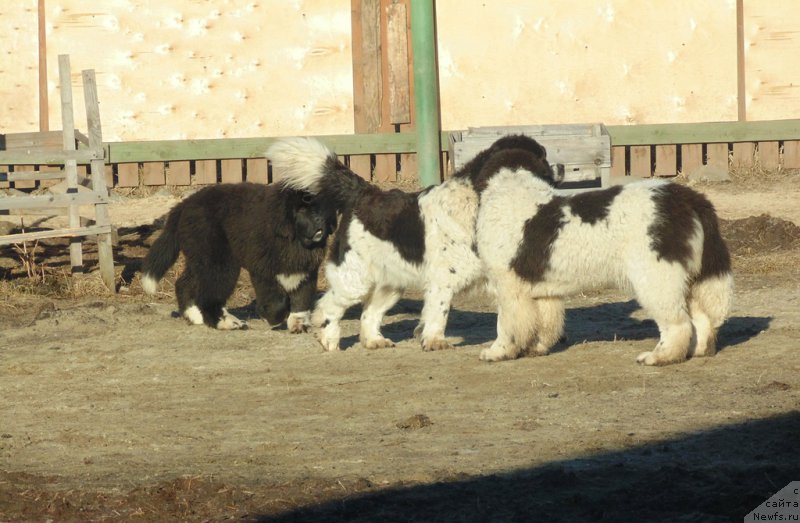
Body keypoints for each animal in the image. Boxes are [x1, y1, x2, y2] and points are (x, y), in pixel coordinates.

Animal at [141, 183, 334, 332]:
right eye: (301, 209)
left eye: (320, 208)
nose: (319, 220)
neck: (293, 241)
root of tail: (184, 204)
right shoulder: (262, 270)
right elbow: (277, 300)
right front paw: (273, 317)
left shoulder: (305, 271)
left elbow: (302, 298)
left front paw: (298, 323)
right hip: (220, 261)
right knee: (209, 295)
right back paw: (226, 322)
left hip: (200, 258)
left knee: (184, 283)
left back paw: (194, 316)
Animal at [266, 134, 552, 352]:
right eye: (538, 162)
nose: (555, 174)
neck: (474, 202)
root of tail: (365, 192)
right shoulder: (442, 281)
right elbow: (439, 312)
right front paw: (435, 341)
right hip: (354, 281)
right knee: (327, 307)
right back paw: (329, 340)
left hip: (390, 285)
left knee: (369, 313)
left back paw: (374, 341)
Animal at [472, 147, 736, 366]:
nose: (561, 166)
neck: (511, 188)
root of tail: (688, 198)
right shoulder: (542, 290)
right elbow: (546, 322)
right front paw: (536, 348)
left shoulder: (508, 286)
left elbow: (506, 324)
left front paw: (497, 352)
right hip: (685, 278)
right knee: (701, 319)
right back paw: (698, 350)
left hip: (656, 277)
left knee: (678, 324)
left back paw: (660, 357)